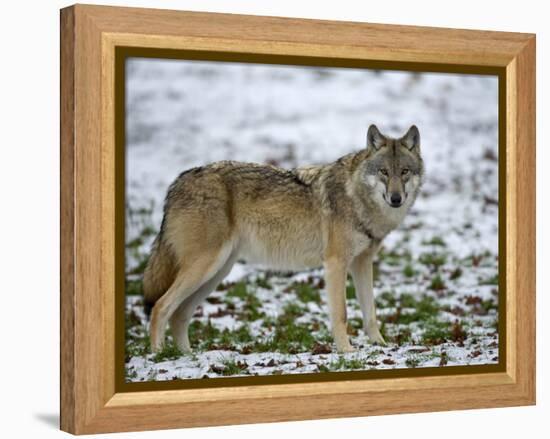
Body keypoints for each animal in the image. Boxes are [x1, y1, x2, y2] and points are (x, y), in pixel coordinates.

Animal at [143, 124, 426, 354]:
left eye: (404, 171)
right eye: (383, 172)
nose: (396, 199)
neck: (356, 197)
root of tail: (177, 183)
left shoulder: (362, 263)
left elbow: (371, 313)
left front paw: (381, 346)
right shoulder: (335, 264)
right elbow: (342, 314)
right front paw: (346, 351)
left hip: (216, 273)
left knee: (179, 314)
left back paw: (187, 357)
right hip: (206, 267)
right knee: (160, 307)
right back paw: (159, 356)